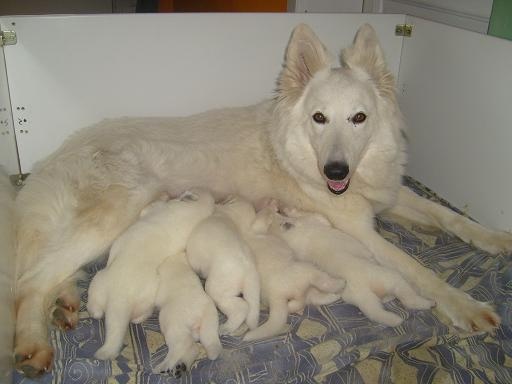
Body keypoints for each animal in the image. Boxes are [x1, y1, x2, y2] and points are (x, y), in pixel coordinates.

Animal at [87, 189, 215, 360]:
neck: (195, 211)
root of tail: (119, 298)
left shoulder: (155, 208)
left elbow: (148, 208)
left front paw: (164, 195)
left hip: (131, 292)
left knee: (130, 314)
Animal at [185, 200, 260, 334]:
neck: (231, 216)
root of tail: (248, 269)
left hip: (216, 289)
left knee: (242, 308)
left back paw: (225, 328)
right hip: (250, 290)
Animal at [262, 201, 434, 328]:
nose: (278, 208)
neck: (289, 235)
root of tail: (364, 289)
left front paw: (288, 209)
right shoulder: (317, 221)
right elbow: (317, 217)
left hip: (363, 297)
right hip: (390, 277)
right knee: (408, 298)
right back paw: (427, 304)